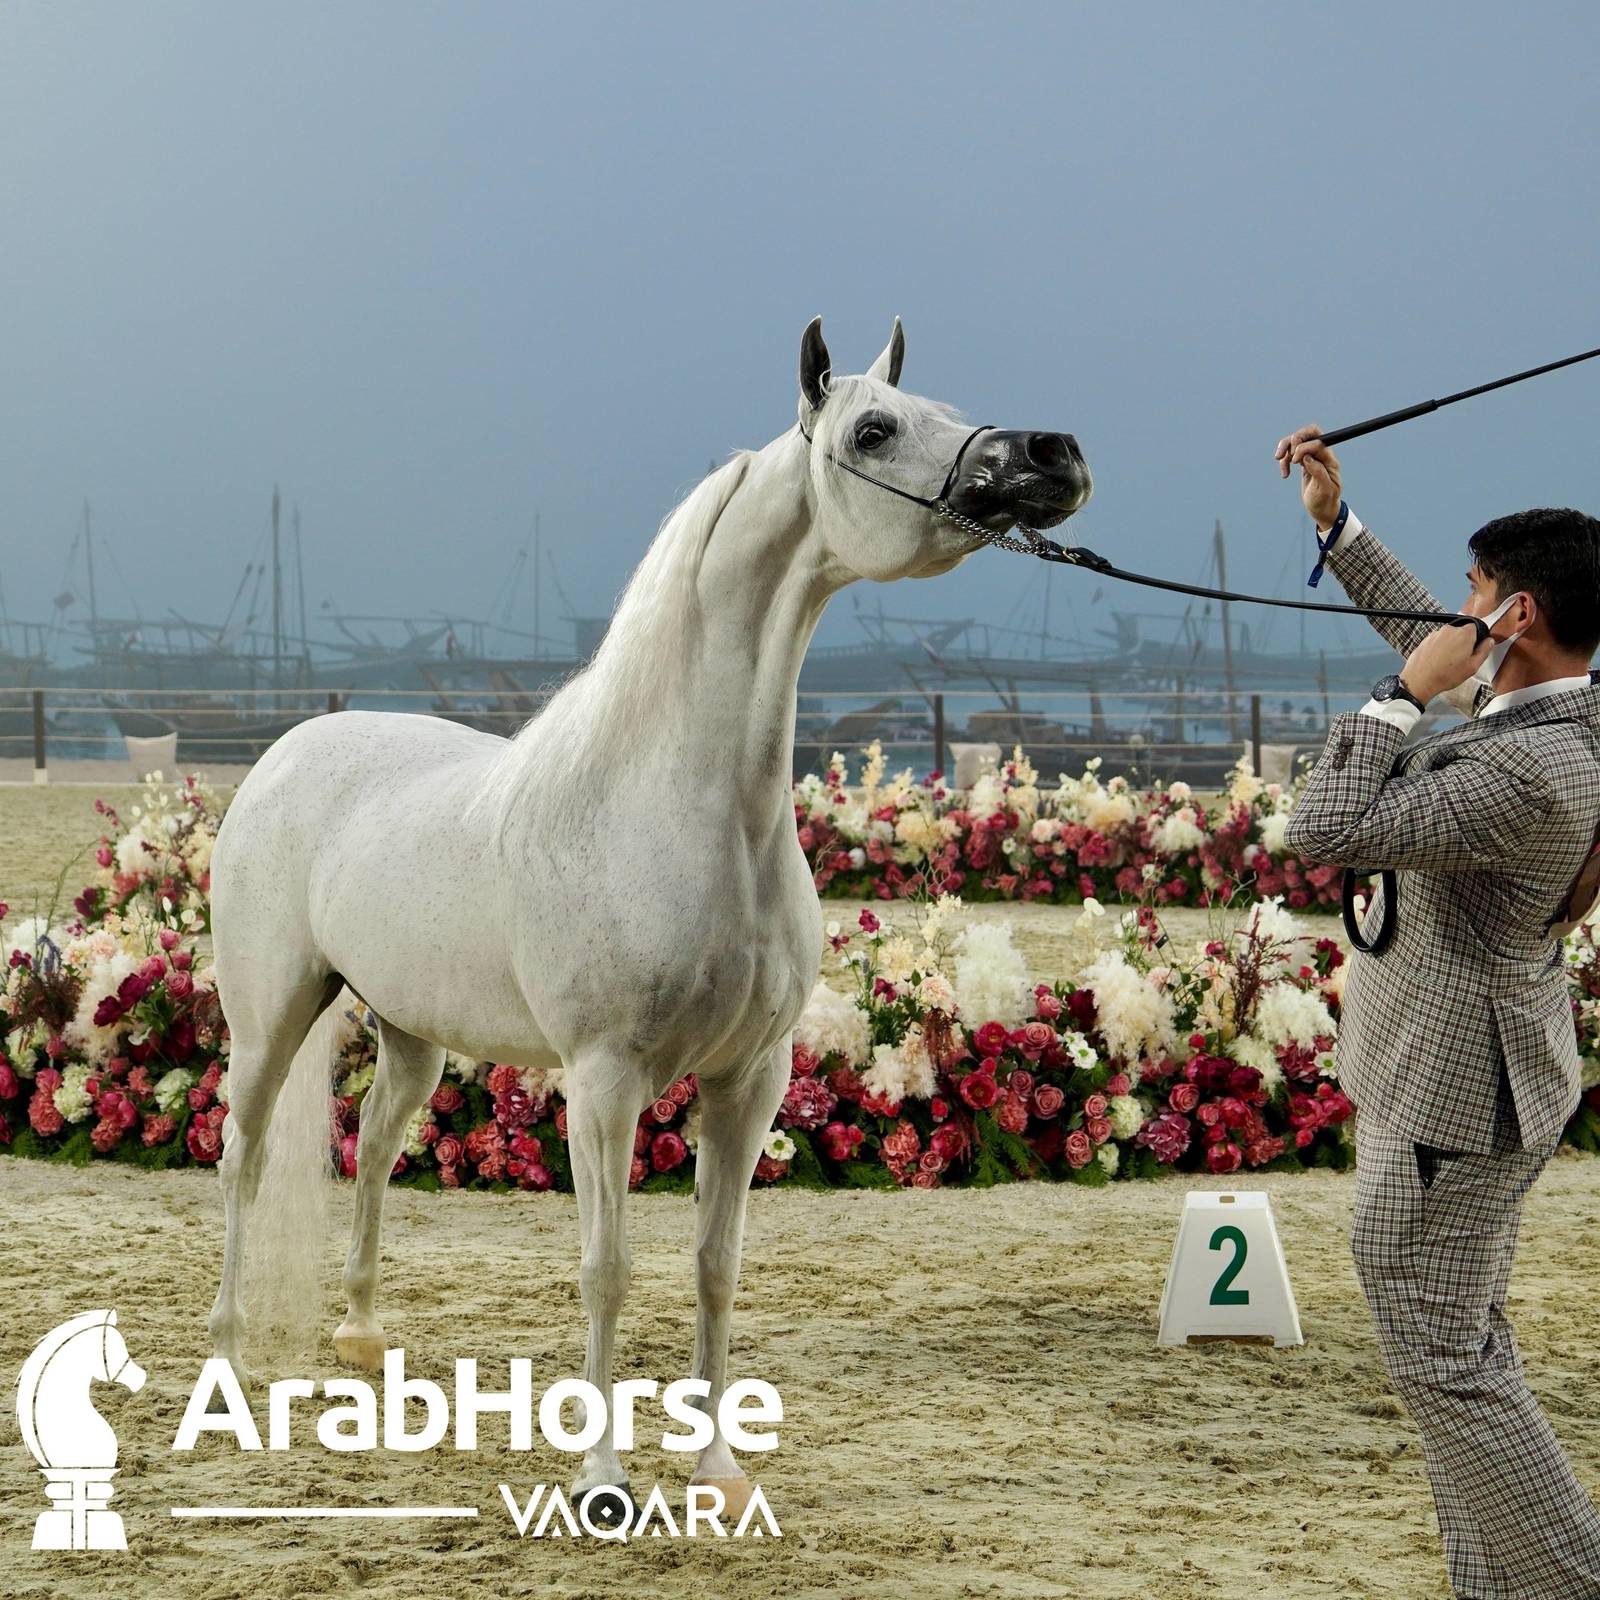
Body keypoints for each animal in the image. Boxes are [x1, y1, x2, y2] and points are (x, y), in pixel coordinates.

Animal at [205, 316, 1091, 1514]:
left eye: (945, 407)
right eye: (872, 428)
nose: (1052, 454)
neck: (677, 804)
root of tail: (289, 747)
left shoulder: (748, 1080)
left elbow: (716, 1266)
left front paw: (716, 1467)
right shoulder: (604, 1081)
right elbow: (608, 1268)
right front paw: (601, 1475)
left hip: (410, 1034)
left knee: (377, 1147)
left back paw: (358, 1334)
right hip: (269, 1019)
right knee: (241, 1156)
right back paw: (224, 1353)